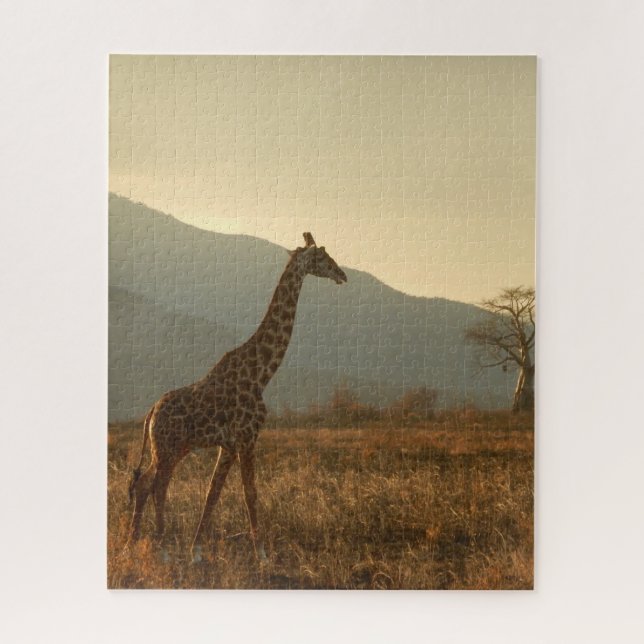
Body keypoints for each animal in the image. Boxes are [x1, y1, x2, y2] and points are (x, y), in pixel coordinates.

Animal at [127, 232, 347, 562]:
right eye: (322, 256)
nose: (342, 274)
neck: (261, 374)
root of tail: (151, 411)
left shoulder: (228, 445)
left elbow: (213, 493)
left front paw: (196, 550)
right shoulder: (246, 437)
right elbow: (248, 493)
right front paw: (262, 554)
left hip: (174, 448)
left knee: (150, 485)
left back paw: (139, 544)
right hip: (166, 448)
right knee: (152, 485)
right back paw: (155, 546)